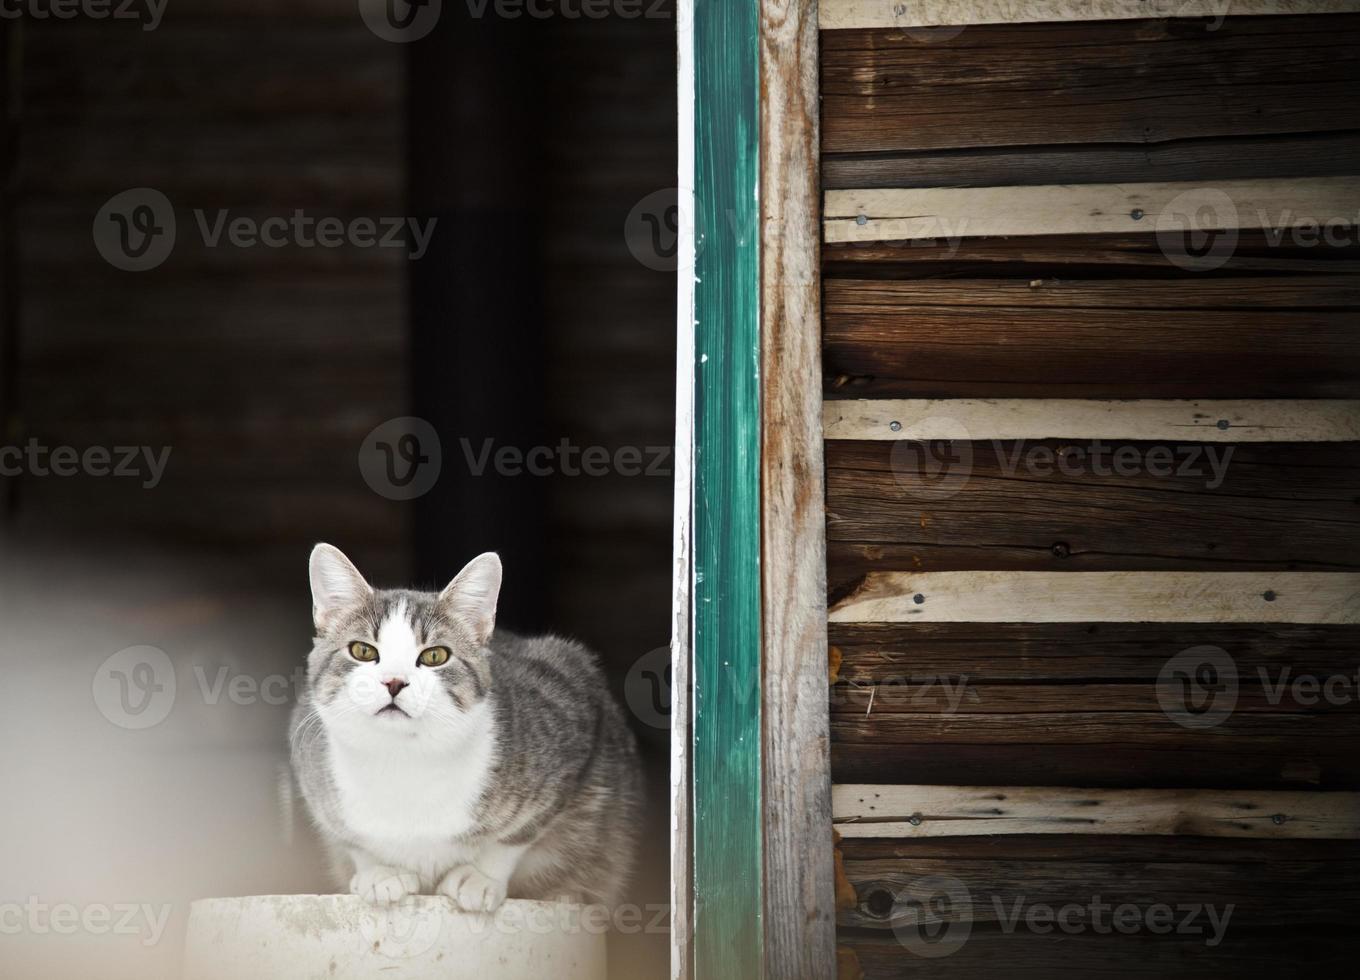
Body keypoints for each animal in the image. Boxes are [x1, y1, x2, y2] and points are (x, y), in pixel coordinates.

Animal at [285, 543, 641, 907]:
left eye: (435, 656)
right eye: (362, 650)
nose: (394, 681)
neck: (403, 760)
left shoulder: (570, 716)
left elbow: (516, 836)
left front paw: (480, 876)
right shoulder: (311, 770)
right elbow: (350, 839)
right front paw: (379, 872)